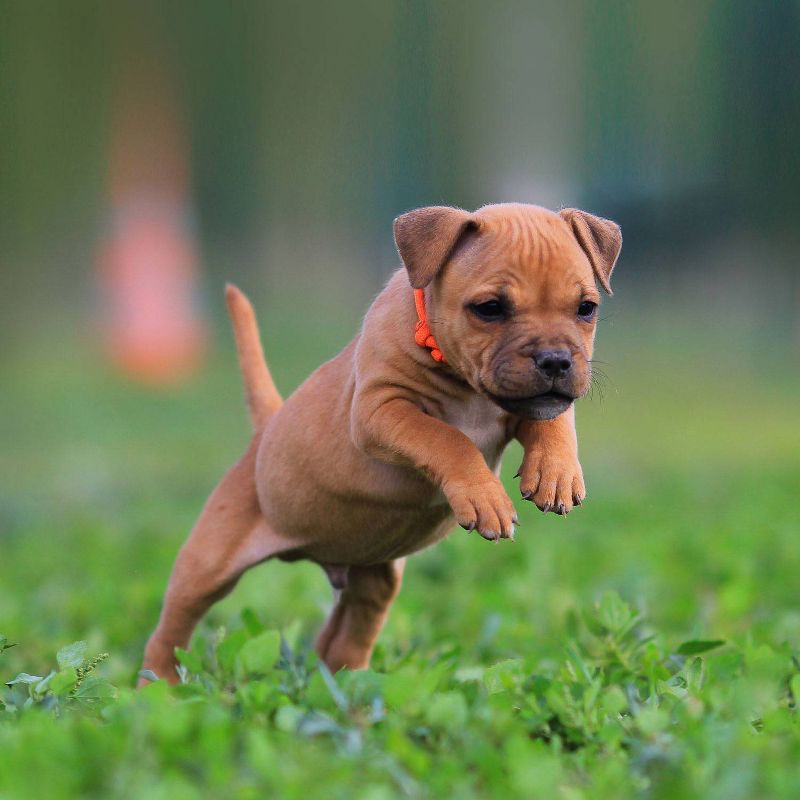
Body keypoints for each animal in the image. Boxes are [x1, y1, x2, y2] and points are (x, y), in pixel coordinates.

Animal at [142, 203, 620, 680]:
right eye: (489, 308)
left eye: (586, 308)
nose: (556, 361)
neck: (462, 379)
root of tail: (267, 426)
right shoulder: (381, 410)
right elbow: (446, 438)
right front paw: (486, 498)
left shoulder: (537, 403)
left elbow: (554, 422)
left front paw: (556, 474)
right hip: (206, 563)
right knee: (172, 628)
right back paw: (160, 683)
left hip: (374, 576)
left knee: (344, 636)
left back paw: (348, 683)